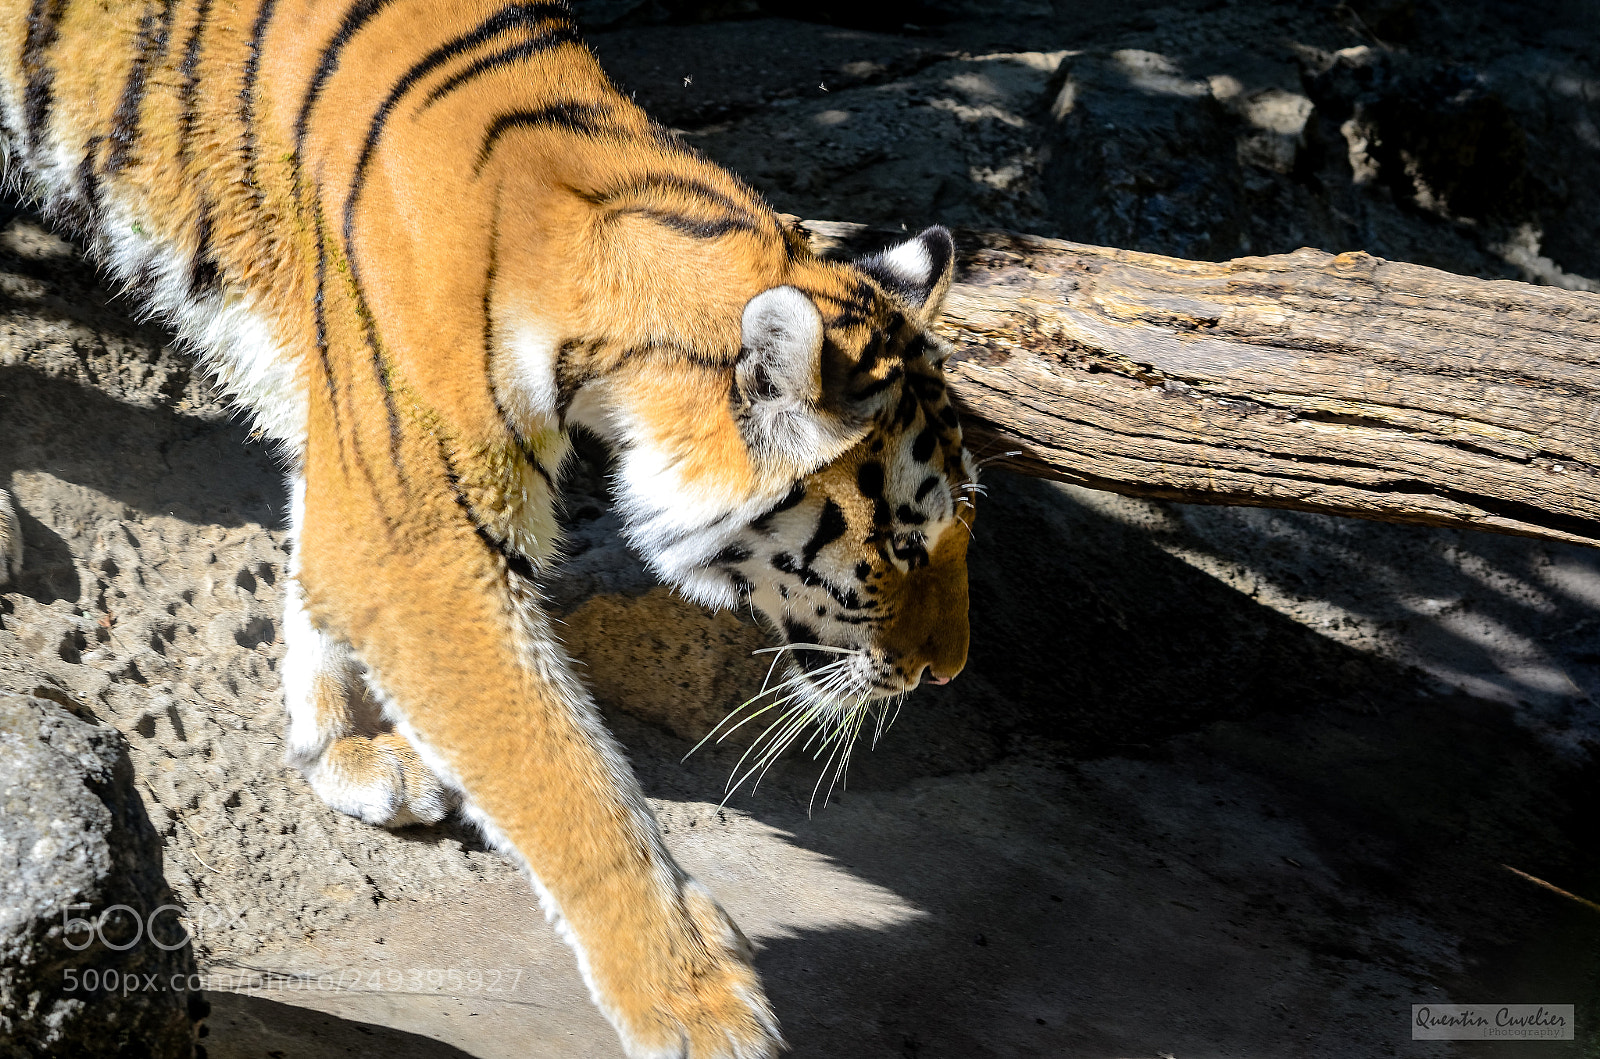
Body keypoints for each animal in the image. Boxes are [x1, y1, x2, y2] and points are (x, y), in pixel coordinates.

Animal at [0, 0, 975, 1055]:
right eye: (899, 545)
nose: (947, 673)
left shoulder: (361, 445)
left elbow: (314, 580)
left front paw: (342, 751)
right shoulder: (423, 538)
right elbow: (568, 782)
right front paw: (698, 1004)